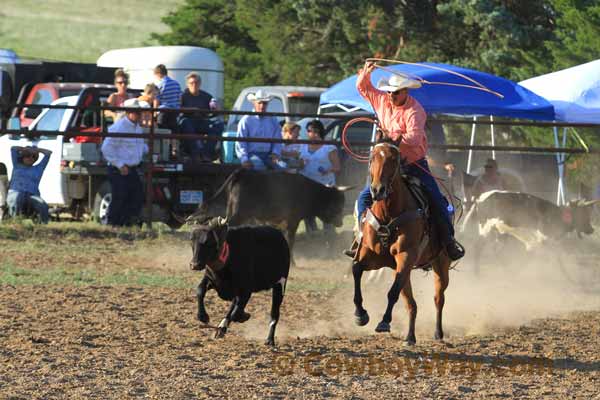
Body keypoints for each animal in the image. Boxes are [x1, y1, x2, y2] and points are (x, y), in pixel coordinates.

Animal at [352, 141, 450, 344]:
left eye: (394, 160)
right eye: (372, 157)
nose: (378, 190)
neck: (388, 214)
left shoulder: (405, 255)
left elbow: (392, 292)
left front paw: (384, 322)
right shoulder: (372, 256)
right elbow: (356, 269)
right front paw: (360, 314)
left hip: (440, 264)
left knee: (438, 298)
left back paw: (438, 333)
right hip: (404, 271)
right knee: (411, 303)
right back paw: (410, 336)